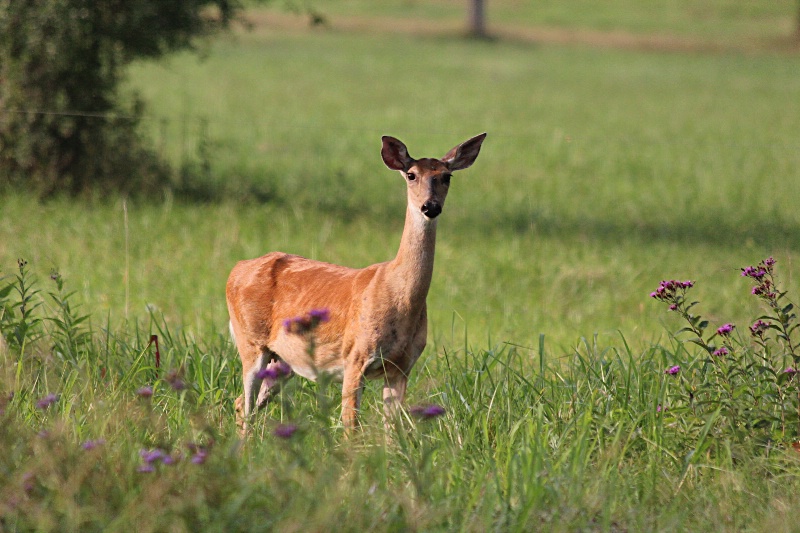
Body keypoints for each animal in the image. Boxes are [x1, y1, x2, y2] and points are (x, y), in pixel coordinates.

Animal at [227, 133, 488, 432]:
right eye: (411, 174)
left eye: (447, 176)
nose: (430, 206)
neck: (399, 296)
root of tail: (236, 268)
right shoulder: (355, 356)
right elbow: (350, 424)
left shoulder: (401, 366)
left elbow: (392, 428)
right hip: (250, 341)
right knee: (245, 403)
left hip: (282, 359)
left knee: (242, 402)